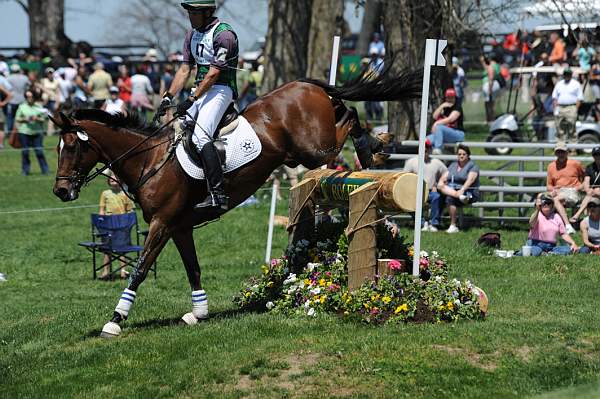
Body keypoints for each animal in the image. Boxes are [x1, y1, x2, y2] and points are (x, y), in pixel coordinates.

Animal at [51, 68, 420, 338]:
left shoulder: (162, 223)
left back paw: (374, 148)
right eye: (58, 148)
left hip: (314, 149)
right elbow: (193, 268)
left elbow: (141, 267)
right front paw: (198, 313)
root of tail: (304, 84)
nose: (60, 192)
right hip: (303, 150)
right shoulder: (179, 227)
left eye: (73, 147)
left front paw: (115, 319)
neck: (149, 161)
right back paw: (376, 145)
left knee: (350, 117)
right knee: (343, 109)